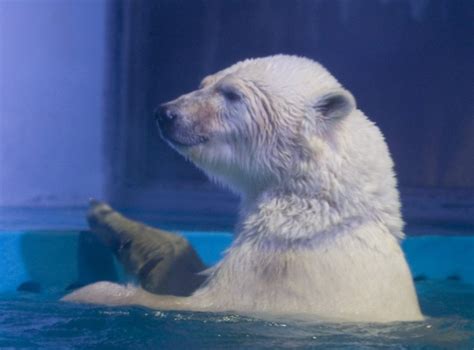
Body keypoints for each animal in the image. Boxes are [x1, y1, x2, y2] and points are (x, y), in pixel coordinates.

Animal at [63, 55, 422, 322]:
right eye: (204, 83)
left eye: (231, 94)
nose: (166, 113)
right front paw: (109, 218)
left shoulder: (276, 273)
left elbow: (197, 303)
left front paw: (90, 292)